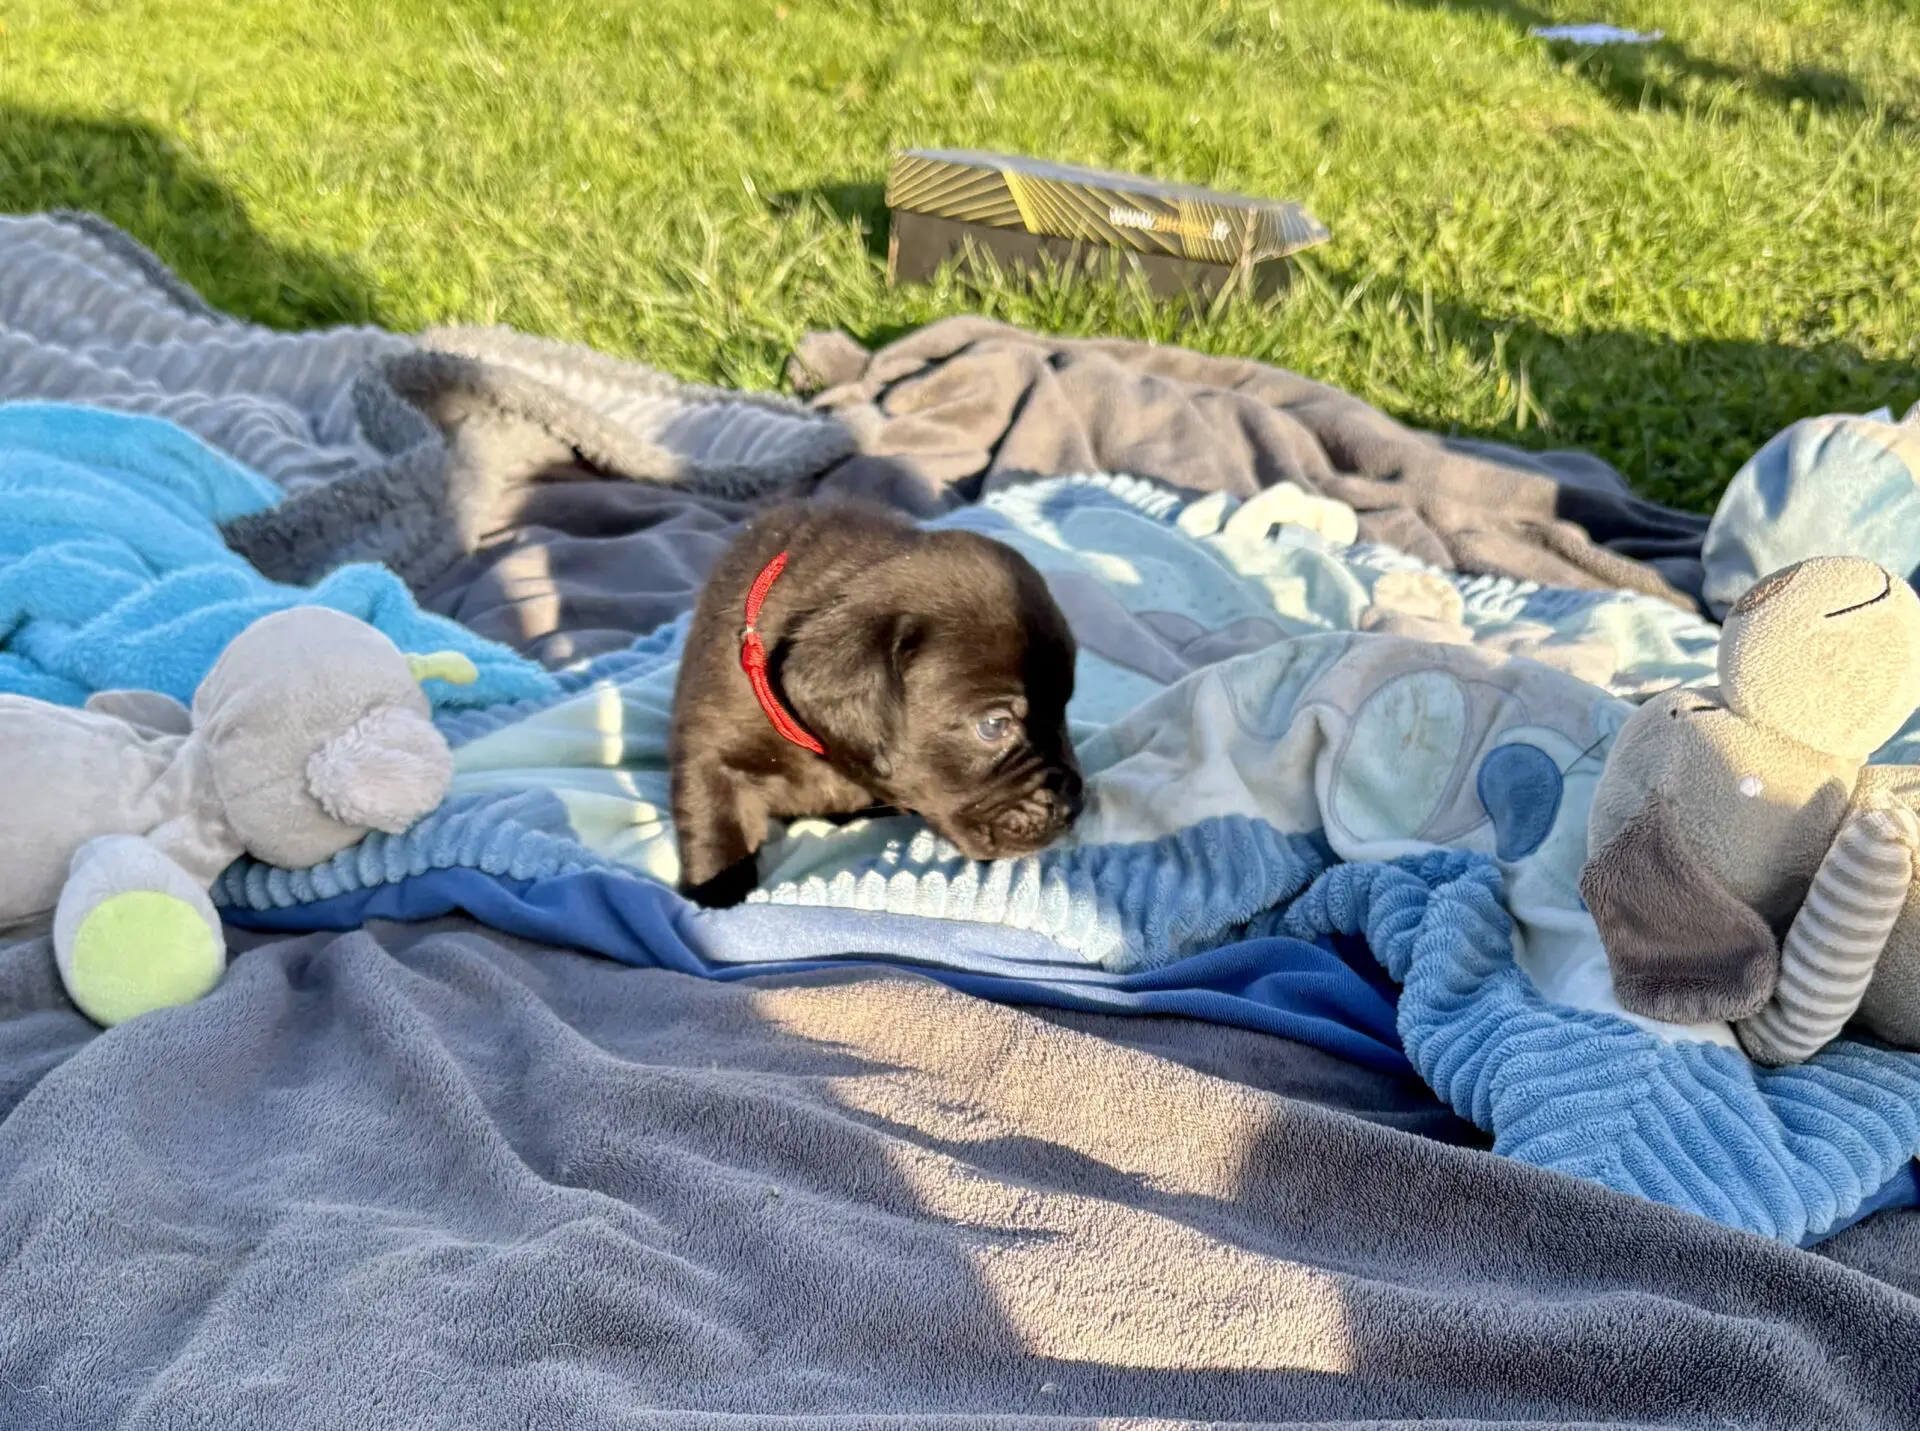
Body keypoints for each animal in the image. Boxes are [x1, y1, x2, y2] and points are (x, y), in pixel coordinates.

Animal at [669, 499, 1084, 908]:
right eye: (994, 726)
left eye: (1063, 710)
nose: (1073, 809)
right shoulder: (710, 750)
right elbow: (715, 825)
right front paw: (717, 896)